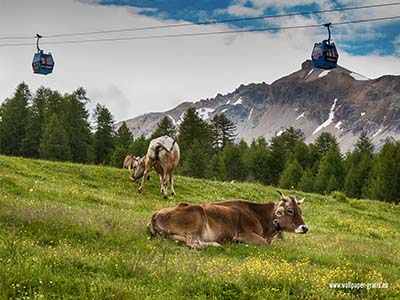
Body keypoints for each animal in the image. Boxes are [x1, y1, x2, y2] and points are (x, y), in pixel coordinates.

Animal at [148, 192, 308, 248]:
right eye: (290, 211)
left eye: (300, 211)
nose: (305, 228)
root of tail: (155, 213)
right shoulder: (246, 233)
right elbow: (263, 243)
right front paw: (238, 241)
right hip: (197, 216)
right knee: (193, 243)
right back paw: (216, 245)